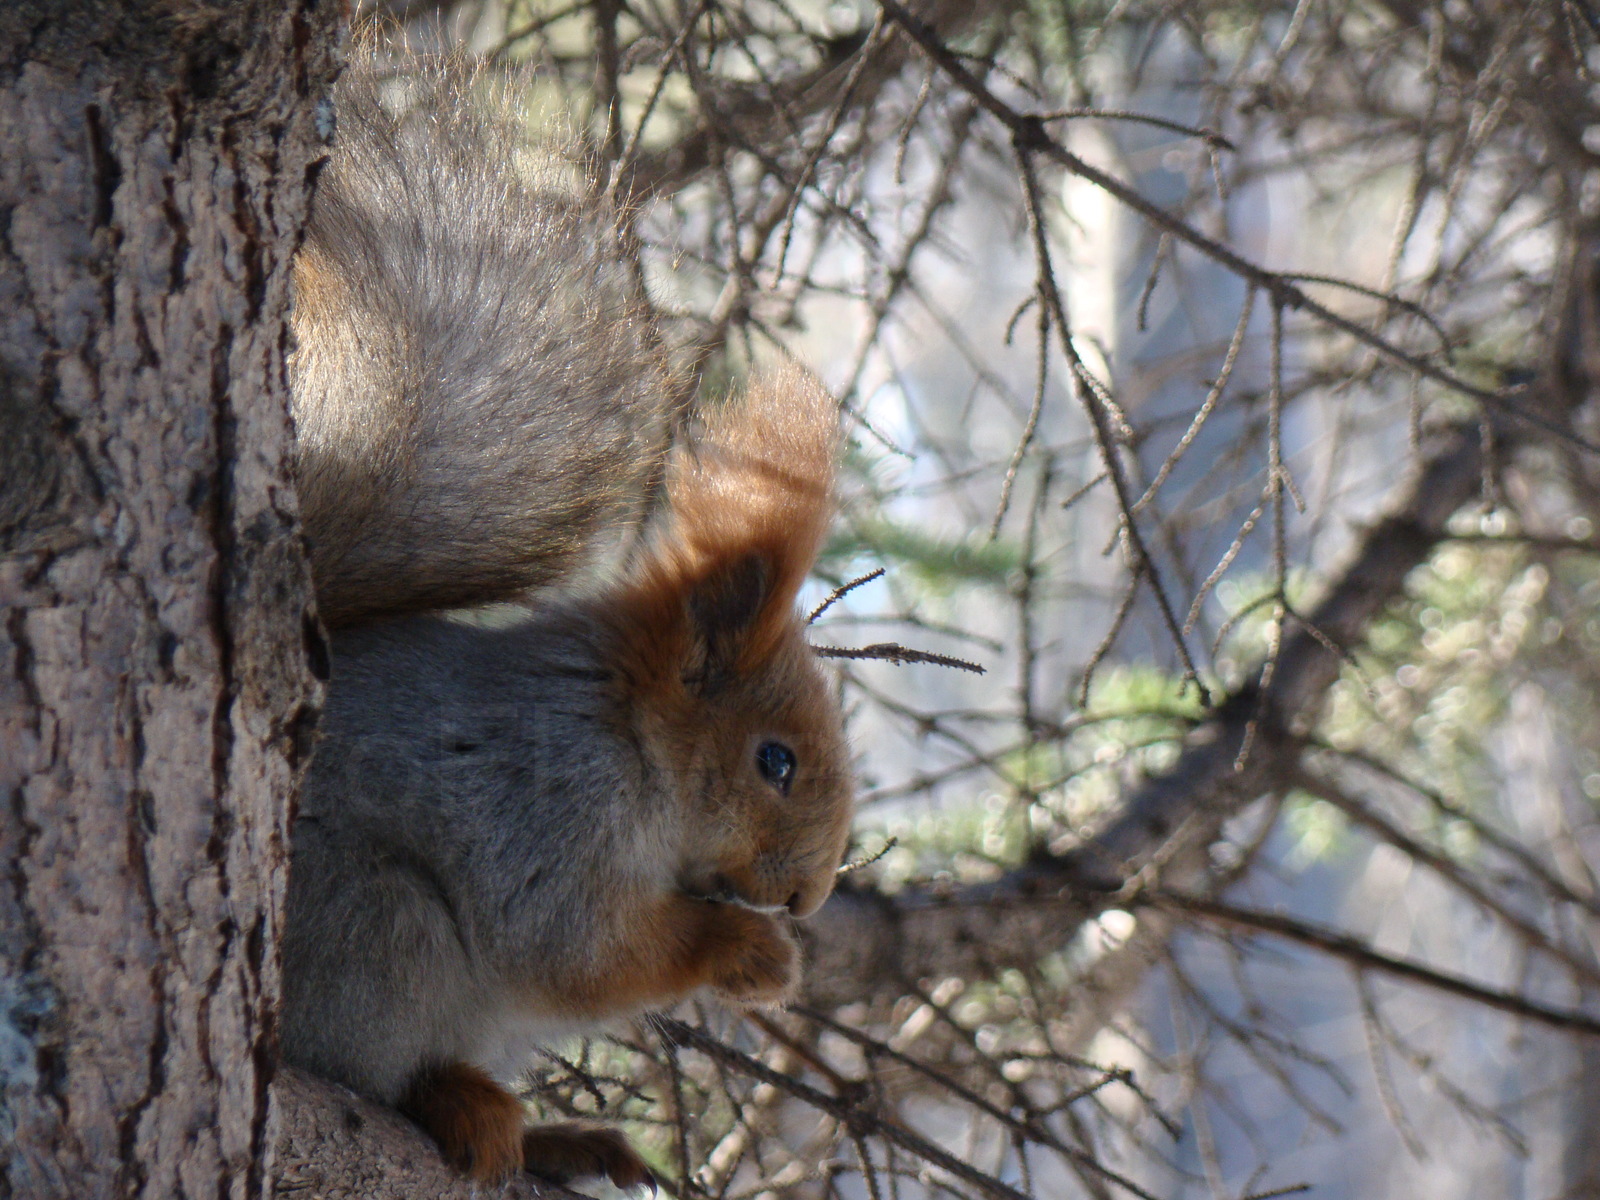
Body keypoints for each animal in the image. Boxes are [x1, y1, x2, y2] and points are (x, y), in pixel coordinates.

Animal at [278, 58, 851, 1196]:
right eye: (773, 761)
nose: (809, 899)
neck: (627, 736)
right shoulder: (540, 801)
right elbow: (575, 951)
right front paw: (747, 957)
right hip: (372, 925)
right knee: (363, 1059)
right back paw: (455, 1104)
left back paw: (560, 1138)